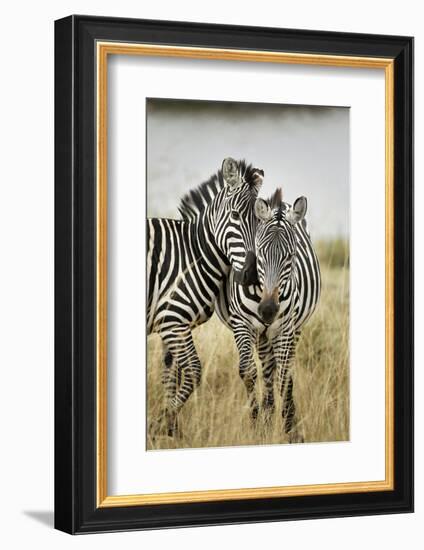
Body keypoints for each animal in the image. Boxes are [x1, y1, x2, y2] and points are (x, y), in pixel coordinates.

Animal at [147, 158, 264, 436]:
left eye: (260, 220)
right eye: (235, 216)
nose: (252, 275)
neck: (193, 252)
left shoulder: (171, 324)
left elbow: (171, 373)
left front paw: (171, 429)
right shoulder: (173, 321)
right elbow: (192, 372)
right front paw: (161, 425)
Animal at [215, 190, 322, 444]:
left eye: (291, 256)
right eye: (260, 254)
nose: (268, 310)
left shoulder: (285, 328)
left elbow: (284, 376)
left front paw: (291, 429)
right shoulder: (242, 325)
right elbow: (248, 372)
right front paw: (257, 425)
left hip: (293, 329)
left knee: (281, 368)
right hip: (262, 334)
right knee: (266, 369)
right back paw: (267, 414)